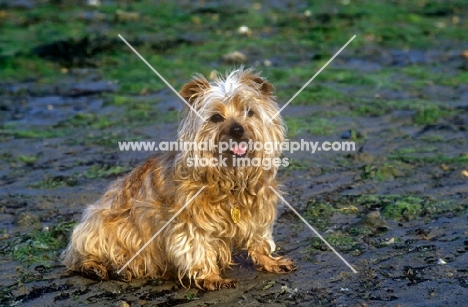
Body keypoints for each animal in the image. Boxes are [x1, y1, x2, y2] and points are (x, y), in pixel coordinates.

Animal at [61, 67, 296, 292]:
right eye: (216, 118)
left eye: (249, 112)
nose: (237, 130)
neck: (230, 179)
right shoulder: (189, 222)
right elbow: (198, 249)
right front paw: (212, 277)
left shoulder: (259, 210)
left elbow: (259, 239)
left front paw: (270, 261)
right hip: (97, 229)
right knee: (78, 258)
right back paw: (98, 267)